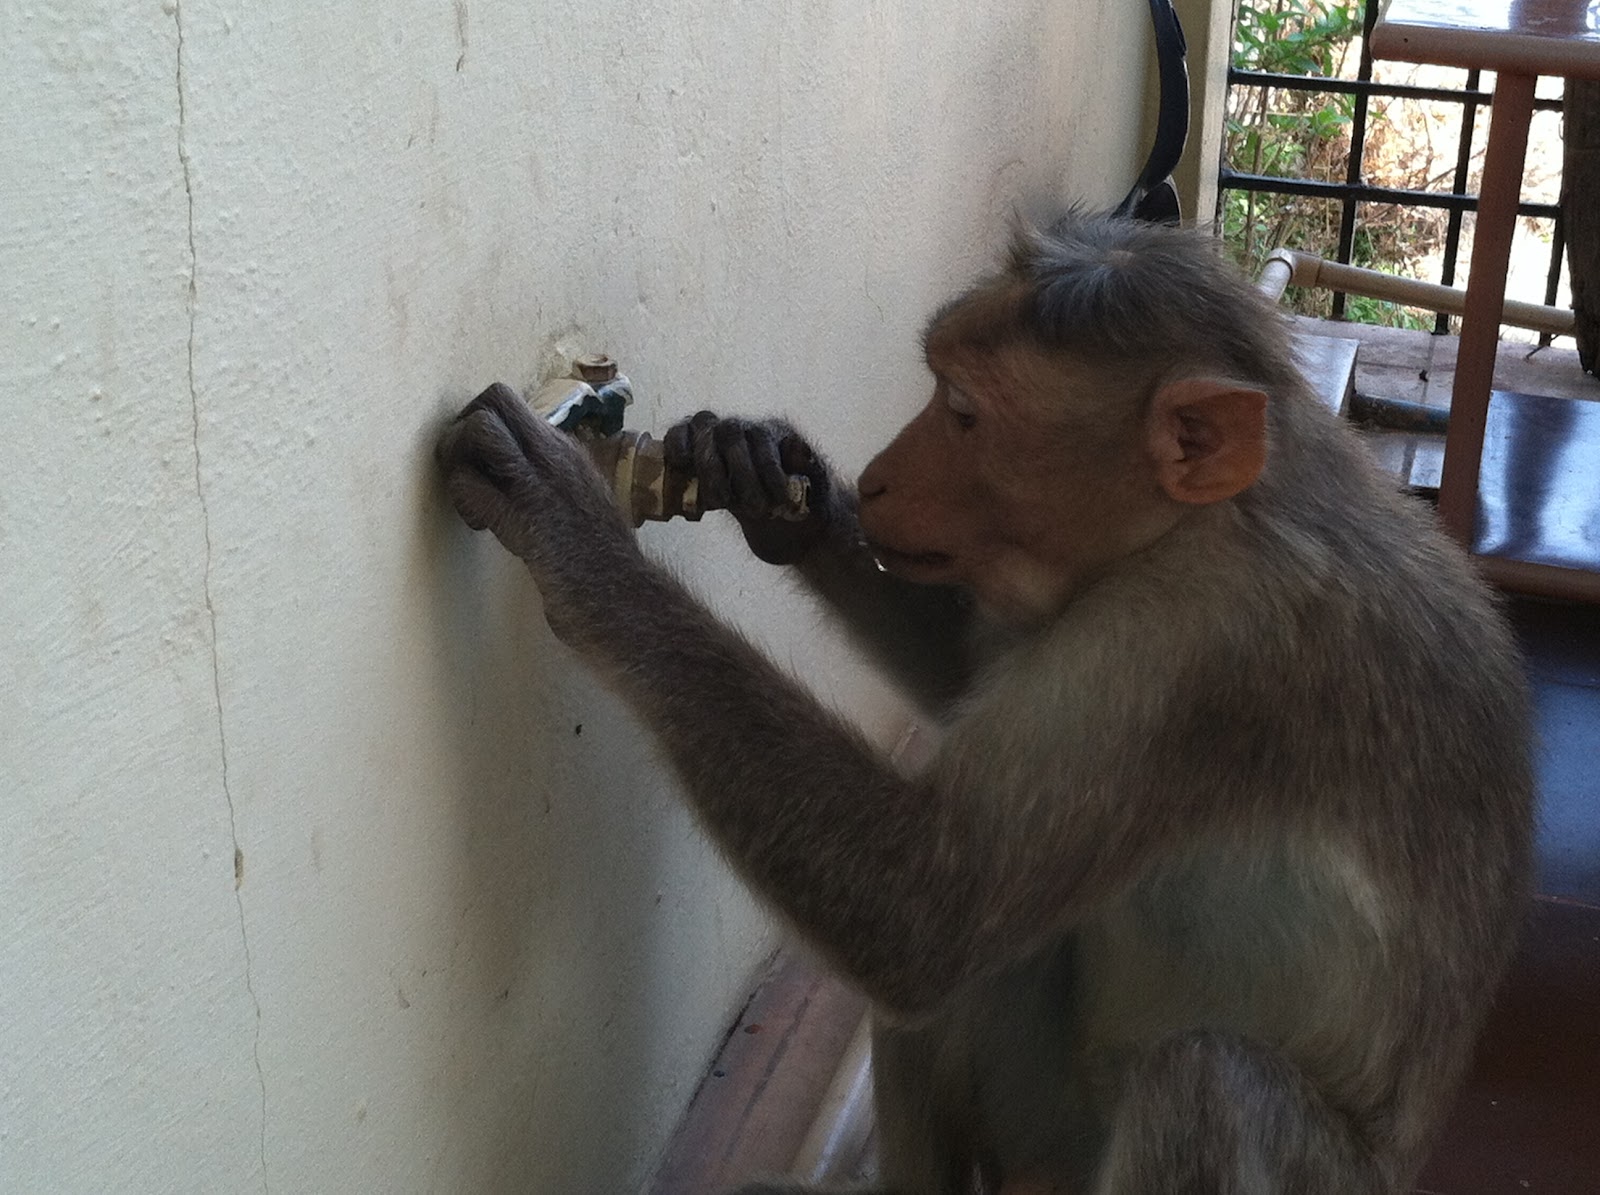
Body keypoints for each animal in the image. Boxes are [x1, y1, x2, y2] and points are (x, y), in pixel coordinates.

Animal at [436, 209, 1532, 1194]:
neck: (1192, 523)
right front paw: (764, 478)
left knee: (1199, 1078)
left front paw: (579, 534)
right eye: (936, 385)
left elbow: (922, 900)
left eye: (964, 413)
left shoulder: (1195, 645)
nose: (879, 478)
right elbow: (960, 697)